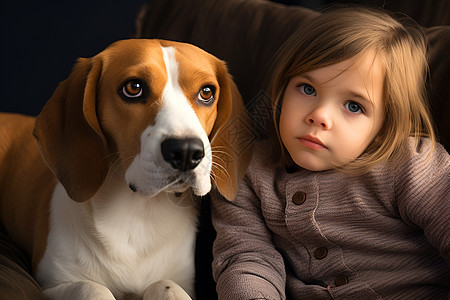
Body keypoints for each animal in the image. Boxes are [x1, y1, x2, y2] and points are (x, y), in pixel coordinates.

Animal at [0, 39, 253, 300]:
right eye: (133, 87)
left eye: (206, 92)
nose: (186, 151)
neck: (138, 215)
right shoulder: (50, 285)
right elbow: (92, 287)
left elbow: (167, 285)